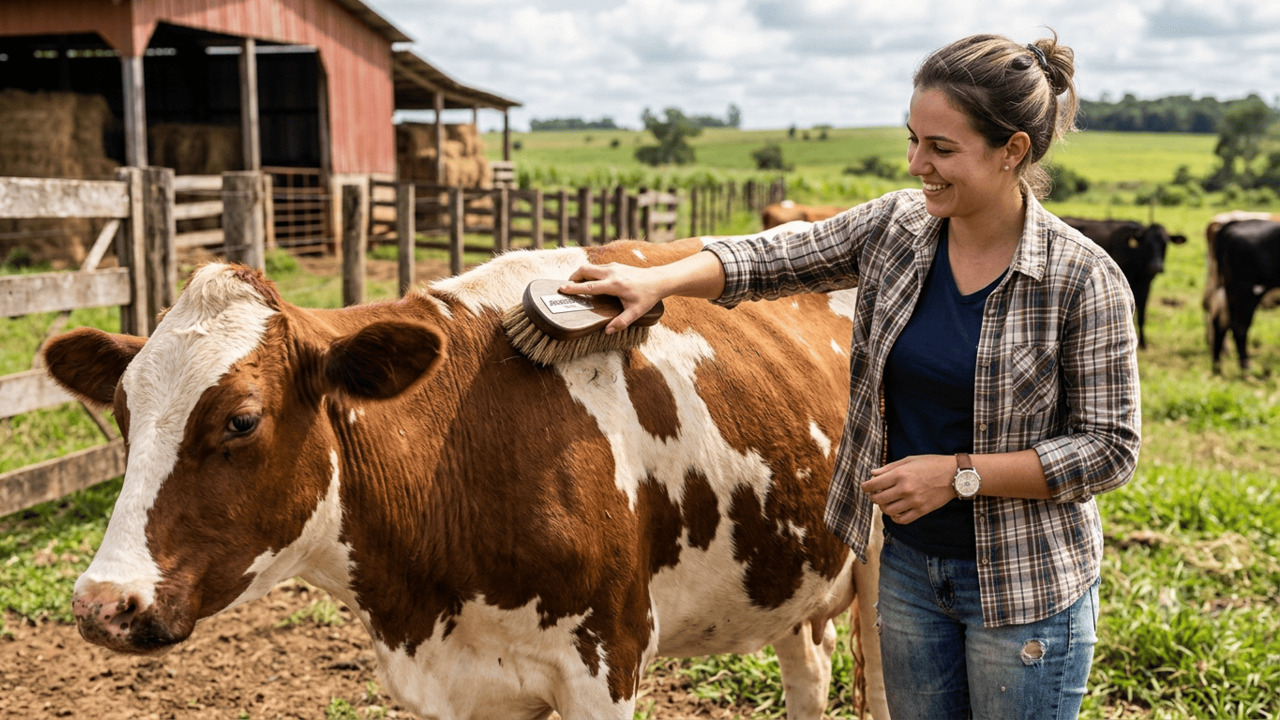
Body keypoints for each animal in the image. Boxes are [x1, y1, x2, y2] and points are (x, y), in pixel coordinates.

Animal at [42, 237, 888, 720]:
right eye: (122, 411)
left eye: (242, 420)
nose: (102, 604)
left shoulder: (606, 662)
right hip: (794, 574)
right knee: (809, 675)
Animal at [1060, 217, 1187, 349]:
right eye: (1147, 243)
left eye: (1165, 243)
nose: (1156, 266)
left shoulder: (1146, 286)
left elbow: (1142, 316)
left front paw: (1143, 343)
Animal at [1202, 211, 1280, 372]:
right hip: (1244, 292)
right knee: (1239, 326)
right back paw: (1245, 367)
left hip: (1226, 290)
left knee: (1218, 318)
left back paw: (1217, 365)